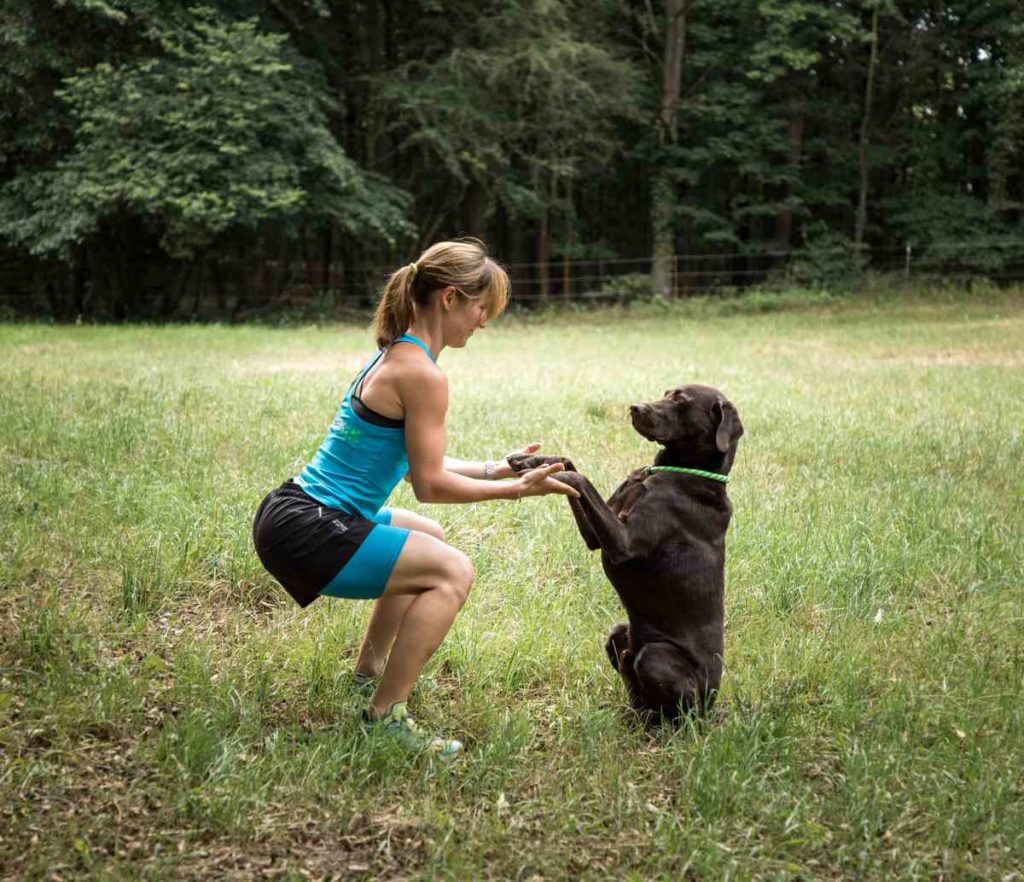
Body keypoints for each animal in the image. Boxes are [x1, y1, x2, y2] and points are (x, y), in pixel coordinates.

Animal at [512, 385, 745, 721]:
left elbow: (579, 478)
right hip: (619, 634)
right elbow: (569, 462)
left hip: (656, 656)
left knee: (678, 713)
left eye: (680, 399)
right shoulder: (598, 535)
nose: (634, 408)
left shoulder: (622, 543)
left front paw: (546, 474)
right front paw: (530, 461)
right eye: (666, 391)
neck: (675, 471)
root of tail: (709, 707)